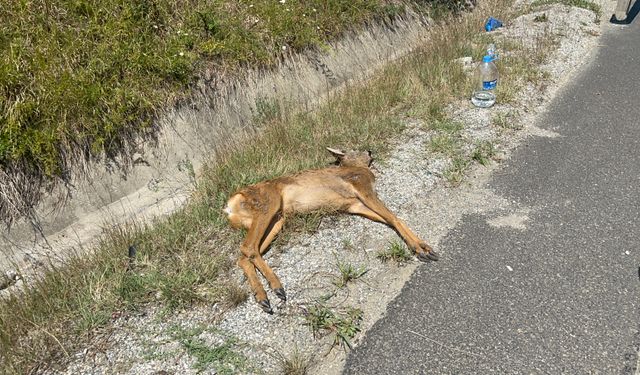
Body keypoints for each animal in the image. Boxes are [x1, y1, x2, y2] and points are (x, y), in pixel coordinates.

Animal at [222, 147, 438, 314]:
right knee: (247, 247)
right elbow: (394, 217)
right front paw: (422, 248)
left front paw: (422, 247)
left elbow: (390, 219)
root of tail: (229, 207)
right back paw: (276, 287)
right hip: (269, 201)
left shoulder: (354, 205)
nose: (370, 150)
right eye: (354, 149)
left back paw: (263, 297)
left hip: (277, 219)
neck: (356, 168)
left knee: (244, 256)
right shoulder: (361, 184)